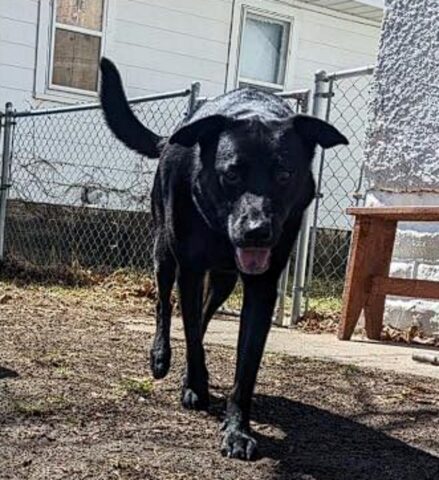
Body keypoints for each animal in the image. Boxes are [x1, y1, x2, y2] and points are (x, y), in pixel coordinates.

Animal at [99, 58, 348, 460]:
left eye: (284, 174)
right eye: (231, 173)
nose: (257, 231)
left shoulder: (263, 286)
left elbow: (245, 367)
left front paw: (236, 430)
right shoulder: (189, 270)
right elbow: (187, 329)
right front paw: (195, 388)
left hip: (225, 280)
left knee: (202, 315)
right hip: (164, 253)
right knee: (165, 306)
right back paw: (162, 357)